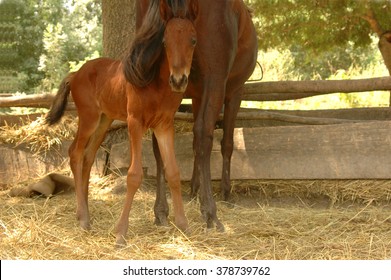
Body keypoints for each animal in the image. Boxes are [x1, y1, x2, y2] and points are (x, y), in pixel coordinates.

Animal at [46, 0, 199, 245]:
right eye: (165, 41)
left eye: (193, 40)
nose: (178, 80)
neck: (154, 83)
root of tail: (76, 73)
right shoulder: (135, 123)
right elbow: (134, 175)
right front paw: (120, 232)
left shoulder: (164, 125)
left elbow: (174, 172)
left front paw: (184, 225)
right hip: (89, 119)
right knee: (75, 153)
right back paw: (83, 218)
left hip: (104, 121)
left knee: (88, 156)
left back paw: (85, 211)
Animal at [125, 0, 258, 232]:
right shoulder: (233, 91)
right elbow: (225, 143)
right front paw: (224, 192)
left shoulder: (196, 93)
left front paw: (195, 189)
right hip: (216, 85)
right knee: (204, 137)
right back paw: (210, 212)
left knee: (163, 143)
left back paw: (162, 211)